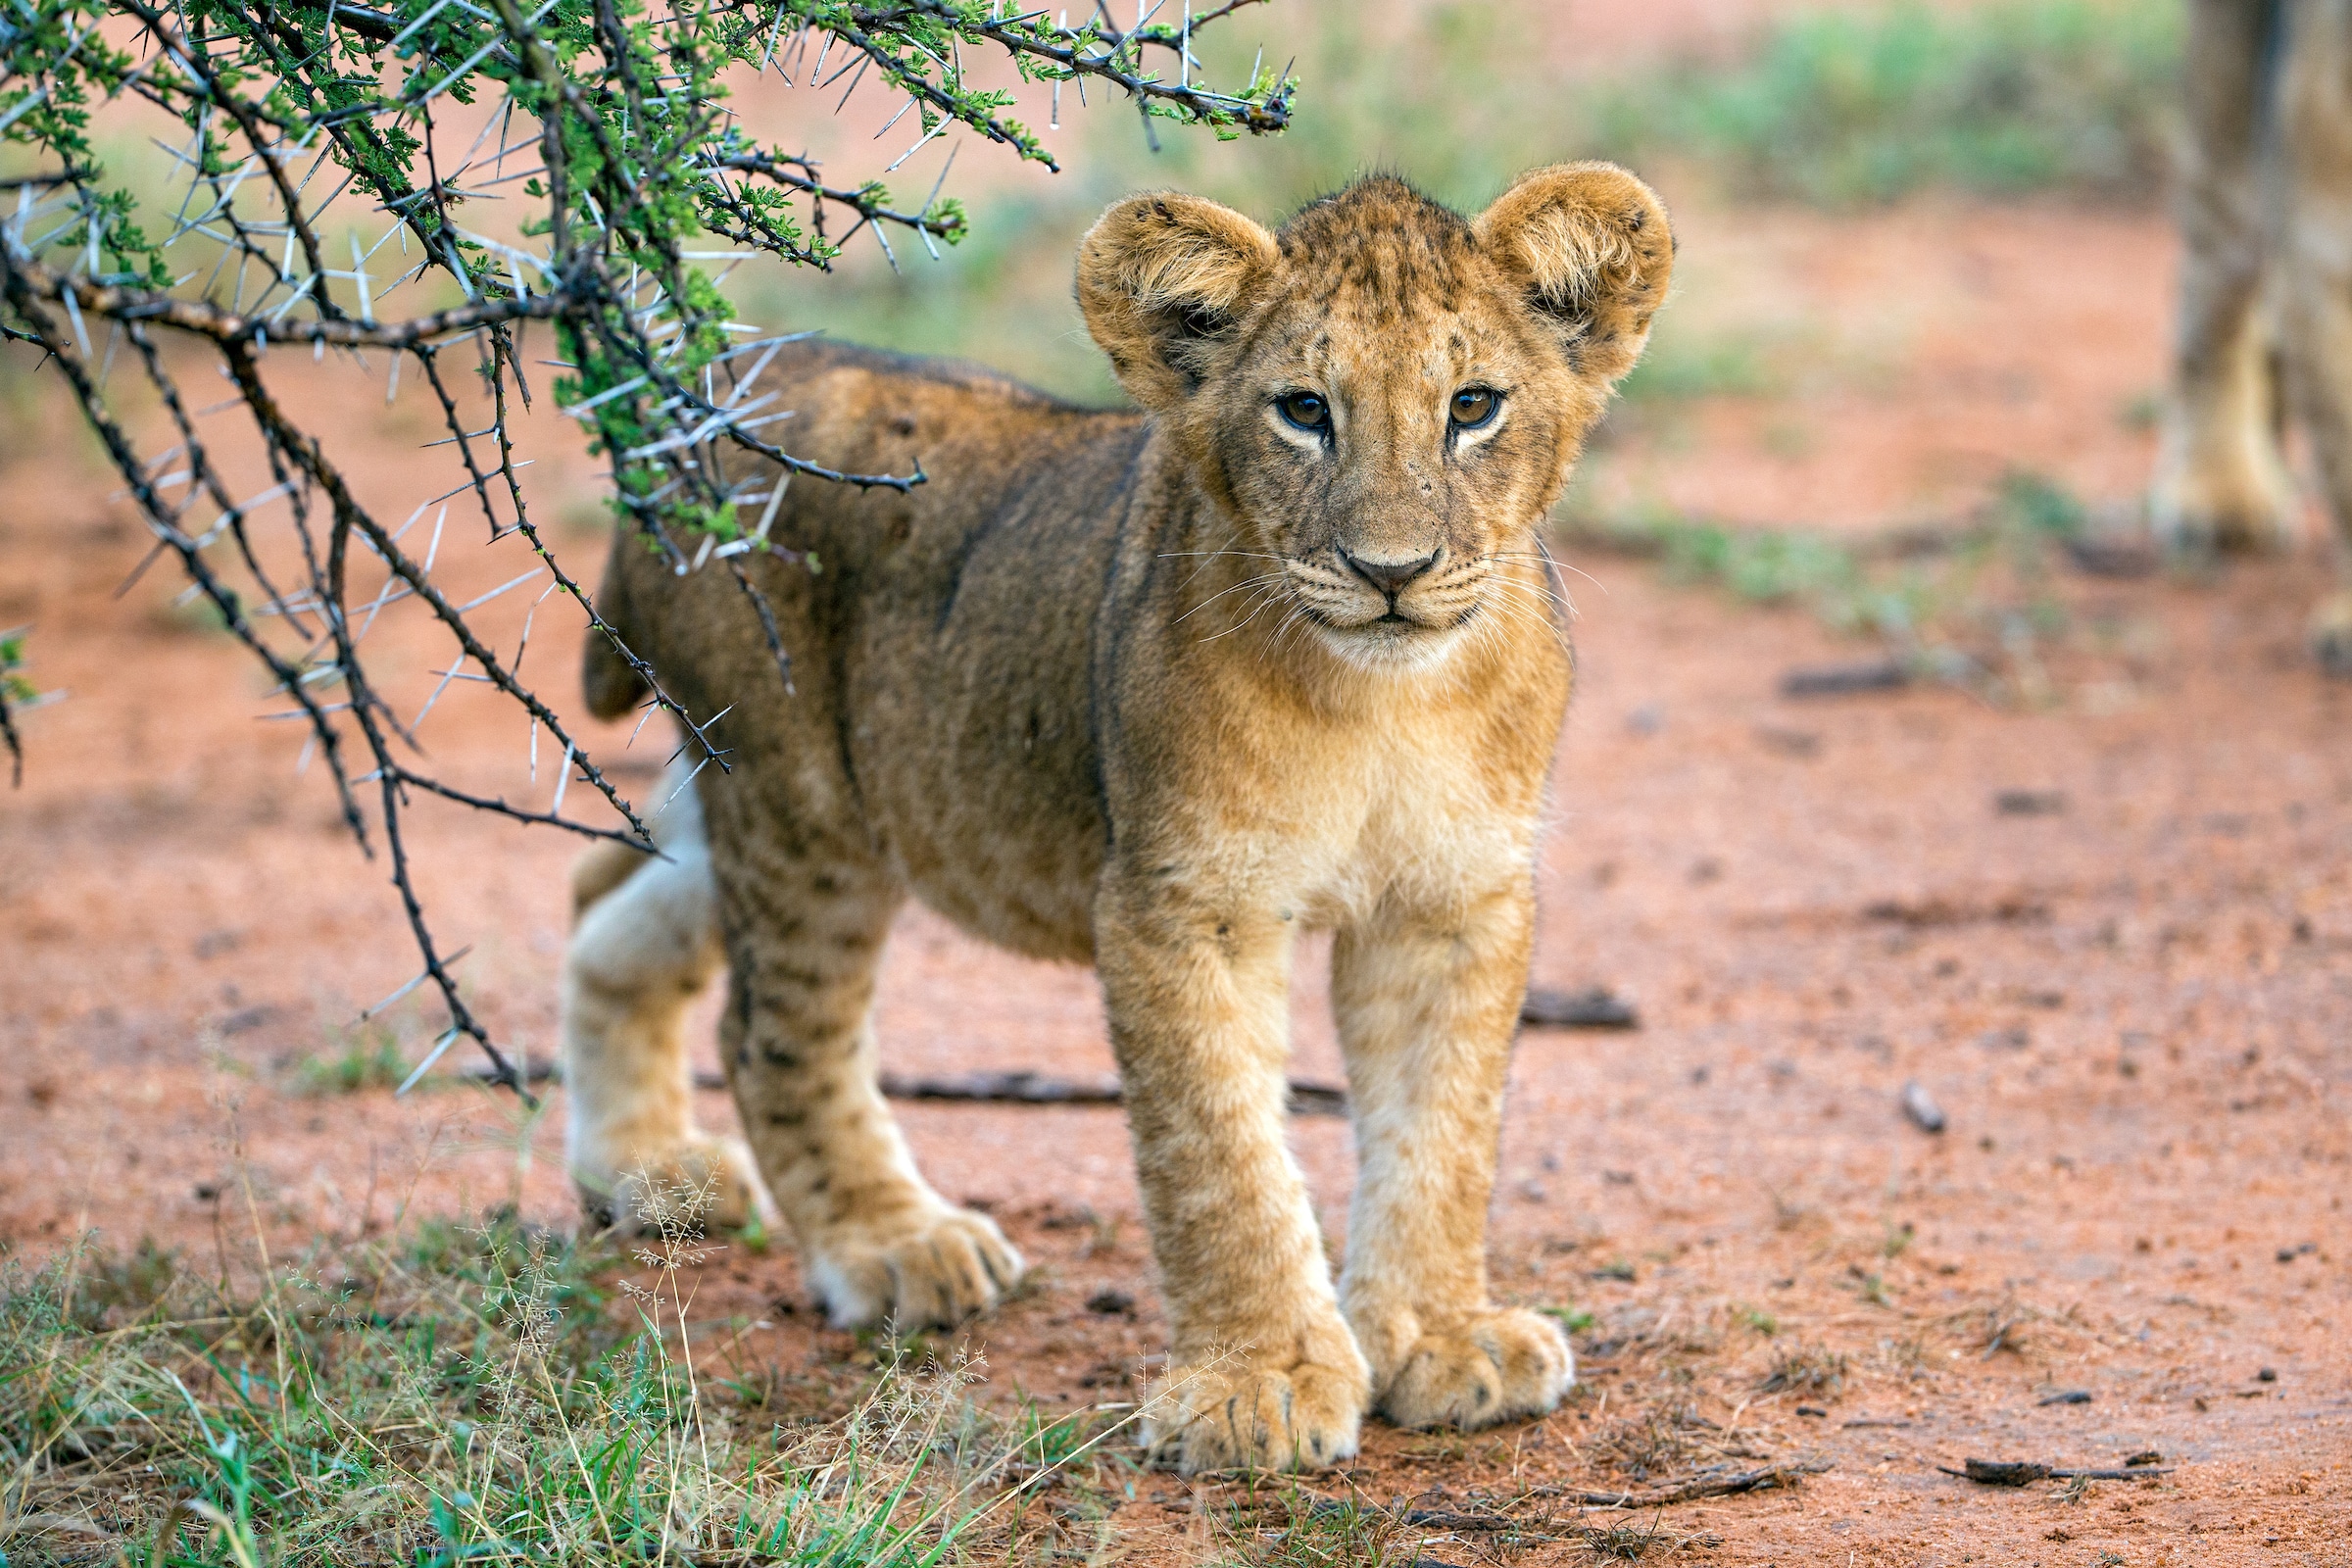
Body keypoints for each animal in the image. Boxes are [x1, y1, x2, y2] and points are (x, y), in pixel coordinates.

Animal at [558, 166, 1673, 1472]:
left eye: (1475, 406)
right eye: (1305, 410)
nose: (1390, 570)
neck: (1383, 702)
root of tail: (680, 428)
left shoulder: (1451, 901)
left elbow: (1443, 1129)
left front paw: (1441, 1339)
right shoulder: (1179, 905)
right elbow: (1219, 1151)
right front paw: (1260, 1382)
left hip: (776, 802)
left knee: (602, 903)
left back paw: (642, 1170)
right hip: (802, 810)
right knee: (767, 1033)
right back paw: (896, 1246)